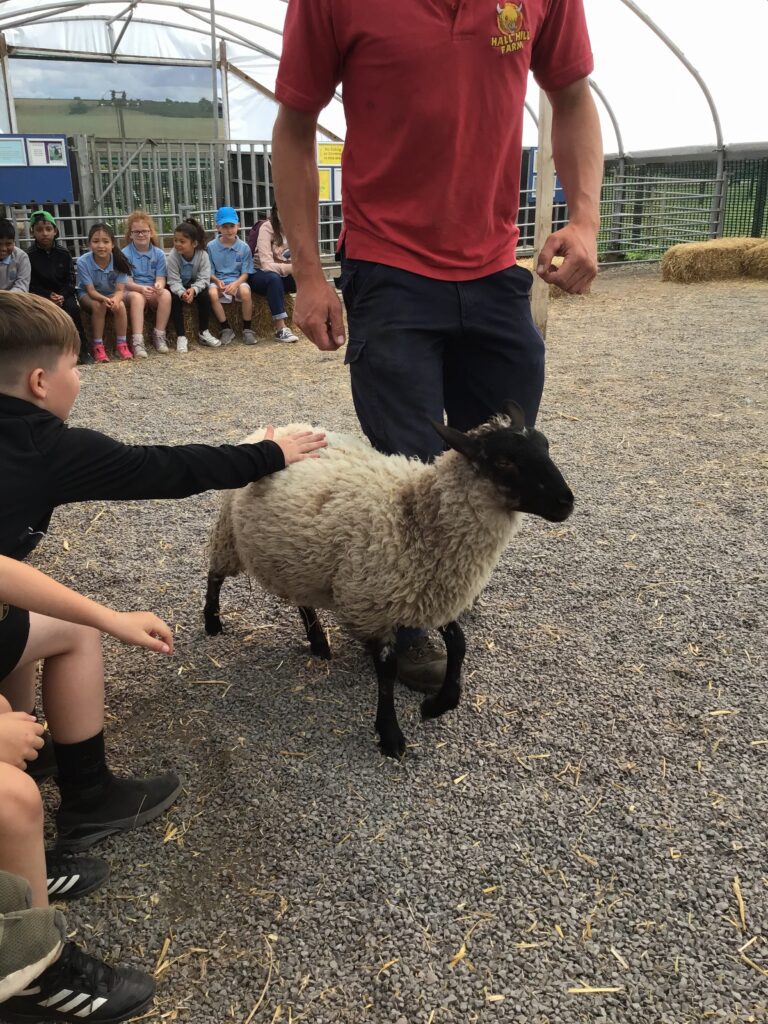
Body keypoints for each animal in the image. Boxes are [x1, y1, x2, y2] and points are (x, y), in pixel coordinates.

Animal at [203, 401, 574, 758]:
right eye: (503, 461)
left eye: (545, 445)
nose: (567, 503)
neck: (413, 515)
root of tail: (278, 429)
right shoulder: (370, 605)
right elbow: (387, 671)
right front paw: (390, 734)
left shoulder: (433, 590)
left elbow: (459, 644)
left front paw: (439, 704)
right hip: (230, 536)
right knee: (215, 576)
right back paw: (212, 623)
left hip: (298, 560)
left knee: (301, 599)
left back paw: (318, 642)